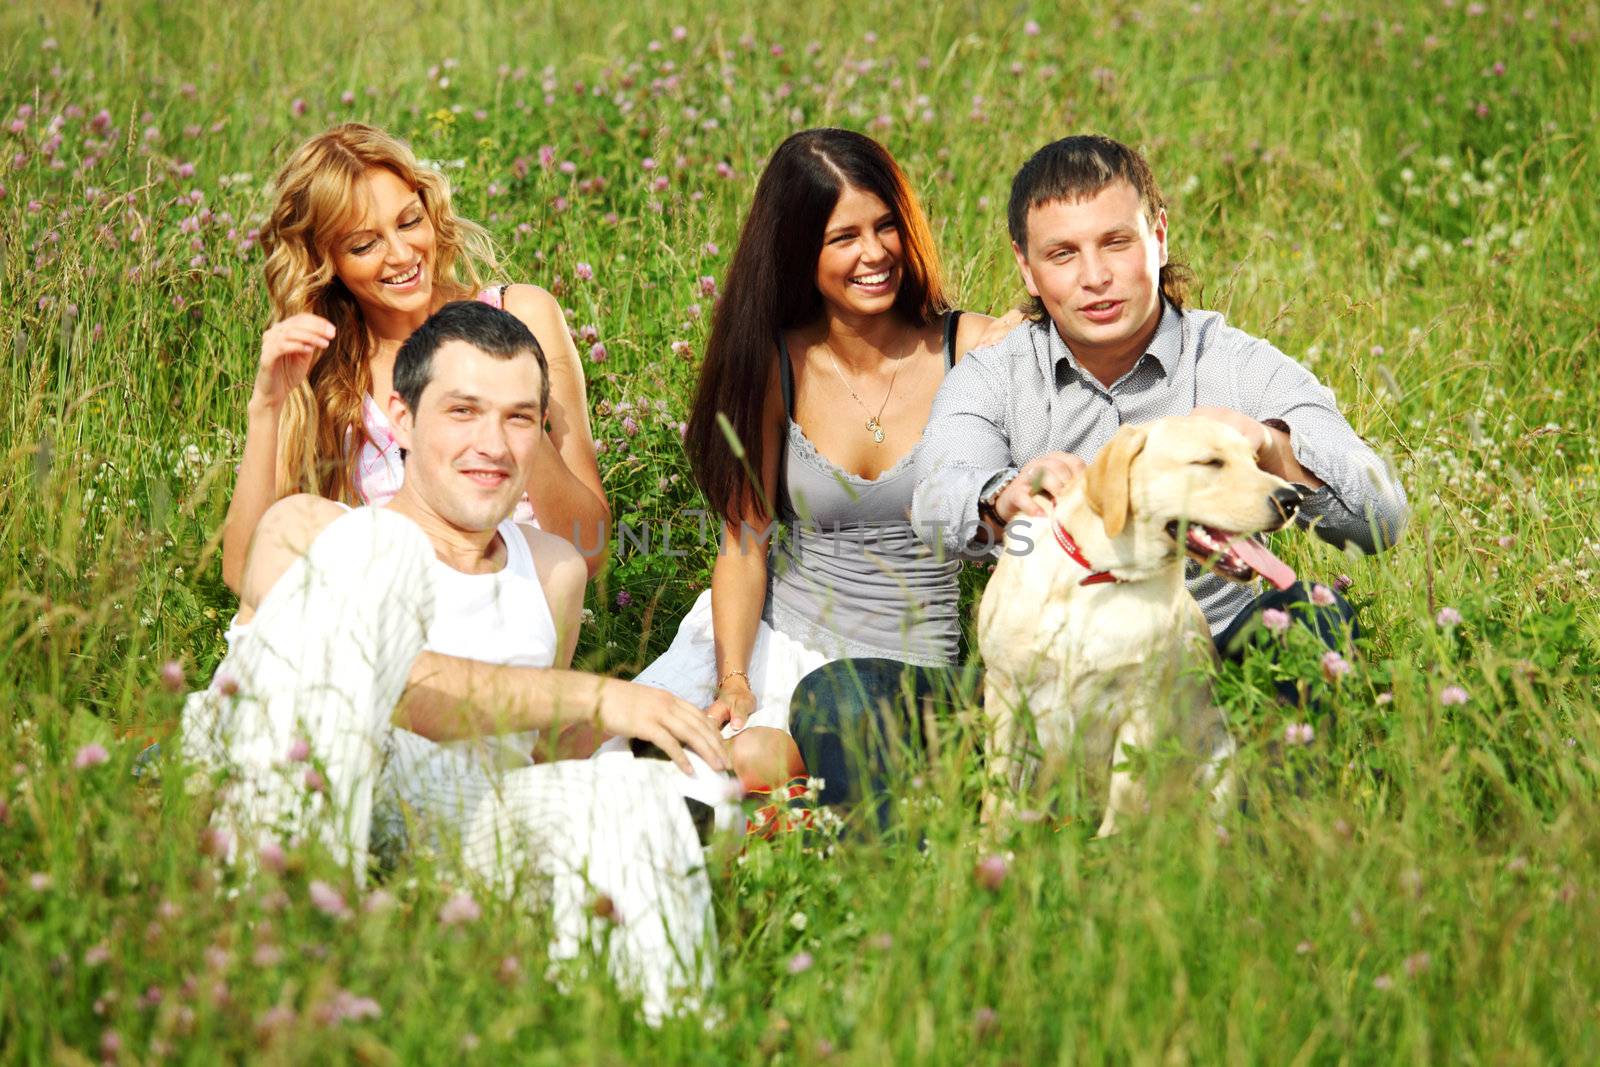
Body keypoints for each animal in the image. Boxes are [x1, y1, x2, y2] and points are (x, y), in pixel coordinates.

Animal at [979, 415, 1305, 831]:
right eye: (1210, 462)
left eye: (1256, 460)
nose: (1292, 500)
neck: (1097, 577)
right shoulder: (1005, 691)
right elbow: (996, 795)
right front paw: (990, 844)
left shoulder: (1141, 708)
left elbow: (1122, 804)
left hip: (1220, 759)